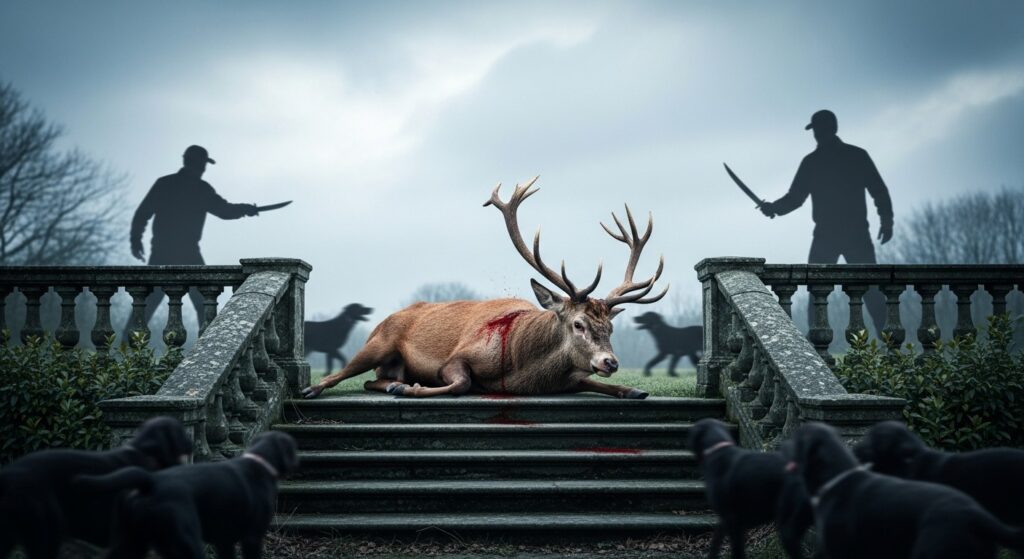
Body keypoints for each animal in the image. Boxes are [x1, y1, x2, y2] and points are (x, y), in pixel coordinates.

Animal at [300, 177, 669, 400]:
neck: (526, 372)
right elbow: (460, 382)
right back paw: (319, 389)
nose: (611, 362)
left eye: (610, 327)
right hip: (377, 341)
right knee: (347, 372)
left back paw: (393, 382)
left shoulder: (571, 378)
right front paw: (413, 389)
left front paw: (634, 390)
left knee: (369, 379)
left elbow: (602, 385)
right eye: (578, 324)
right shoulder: (457, 357)